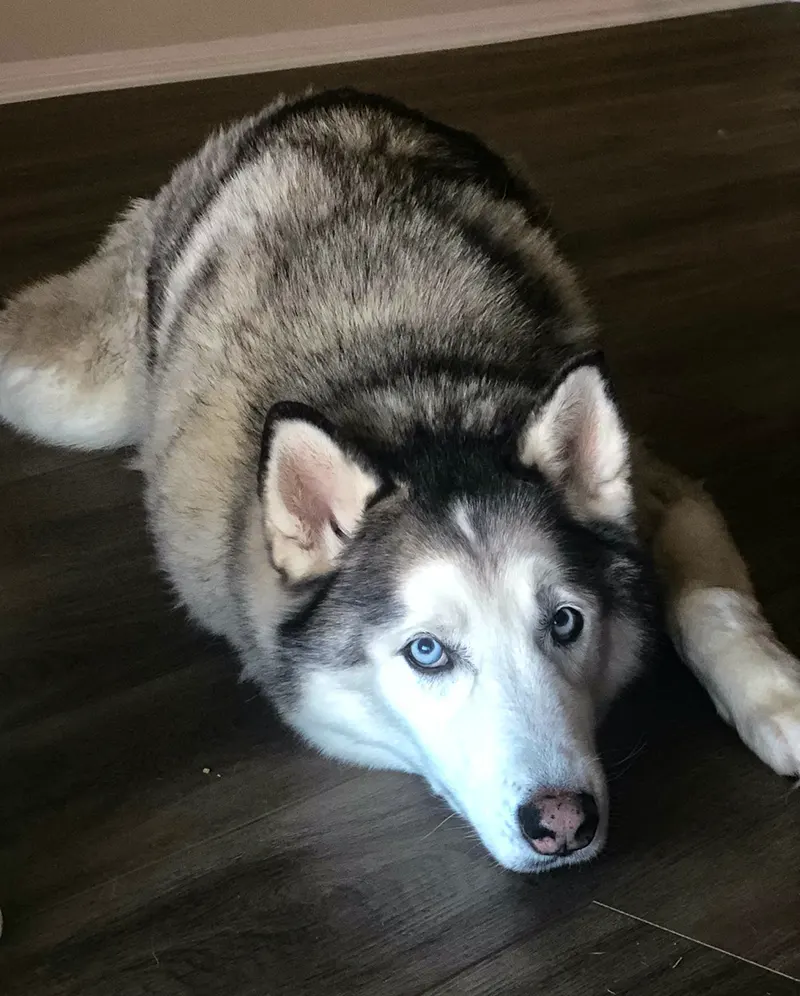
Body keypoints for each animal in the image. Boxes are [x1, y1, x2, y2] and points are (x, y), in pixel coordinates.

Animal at [1, 93, 800, 872]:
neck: (419, 393)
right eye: (427, 653)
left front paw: (774, 693)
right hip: (77, 396)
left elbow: (713, 595)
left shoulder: (663, 489)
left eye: (566, 622)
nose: (564, 822)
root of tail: (325, 98)